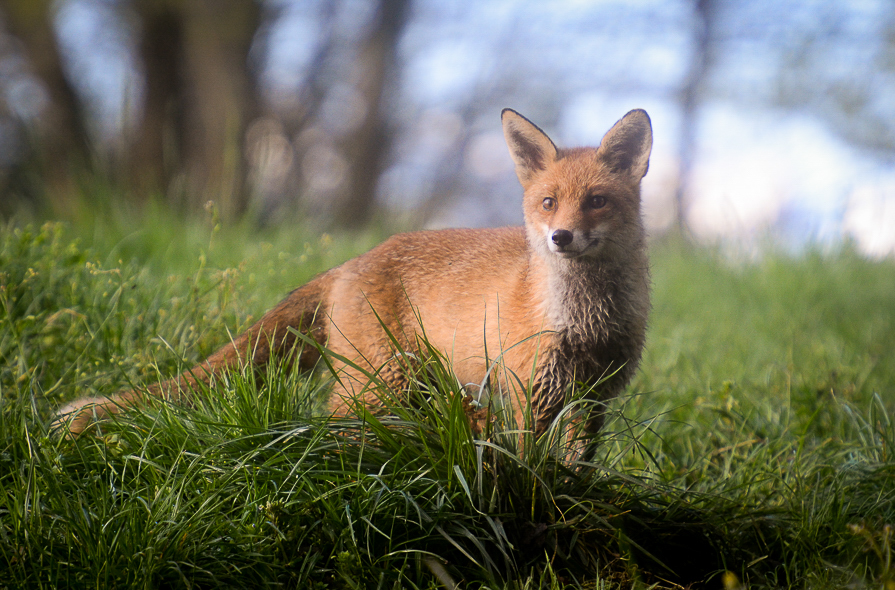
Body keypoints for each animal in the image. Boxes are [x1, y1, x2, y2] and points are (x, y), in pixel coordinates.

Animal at [56, 108, 656, 442]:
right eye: (549, 203)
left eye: (597, 201)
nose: (561, 238)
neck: (585, 321)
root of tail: (350, 261)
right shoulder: (528, 391)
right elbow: (533, 471)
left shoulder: (594, 398)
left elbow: (576, 470)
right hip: (379, 383)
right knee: (337, 420)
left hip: (416, 387)